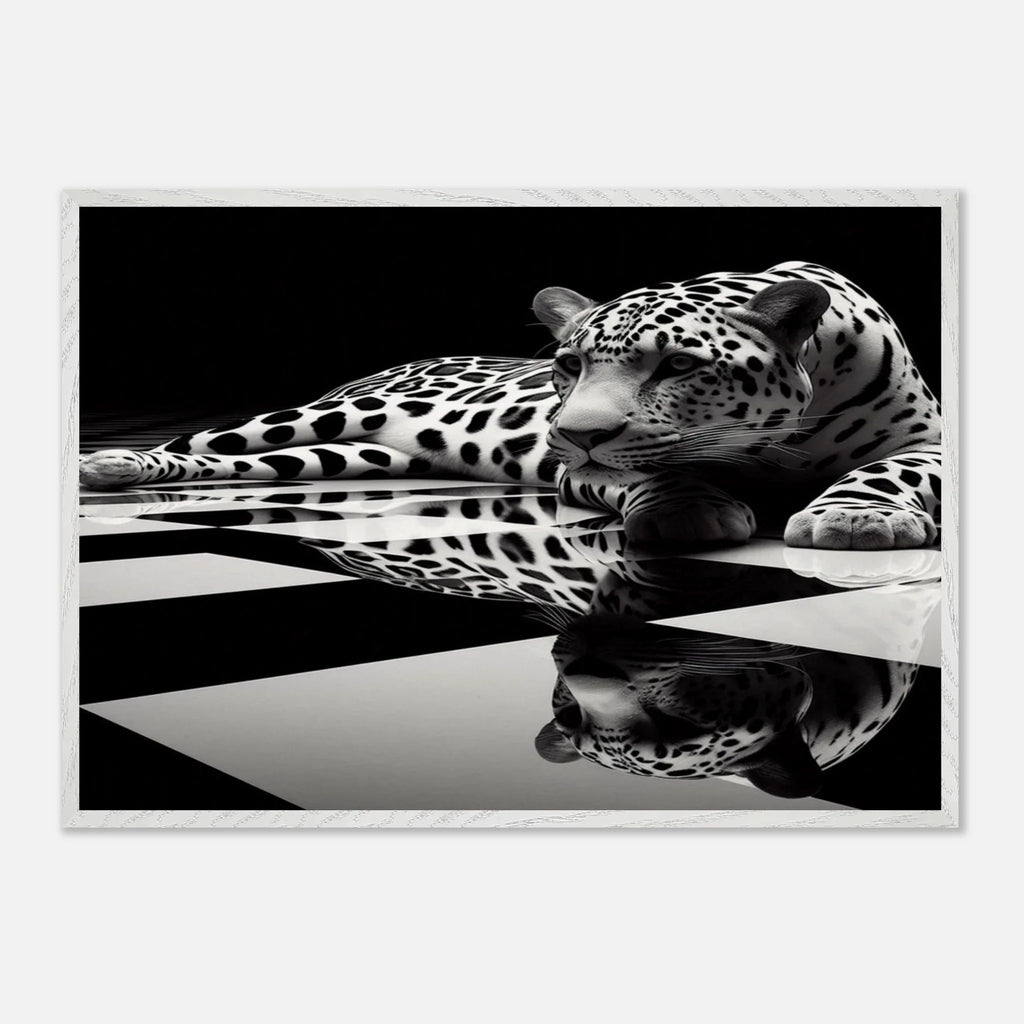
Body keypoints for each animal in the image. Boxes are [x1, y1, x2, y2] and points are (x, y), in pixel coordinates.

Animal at [79, 261, 941, 550]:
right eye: (568, 365)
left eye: (679, 365)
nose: (574, 432)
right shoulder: (581, 472)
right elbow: (650, 471)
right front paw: (687, 509)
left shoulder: (931, 443)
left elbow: (890, 472)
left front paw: (858, 517)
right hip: (314, 418)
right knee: (204, 441)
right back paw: (113, 465)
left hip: (352, 455)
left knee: (259, 463)